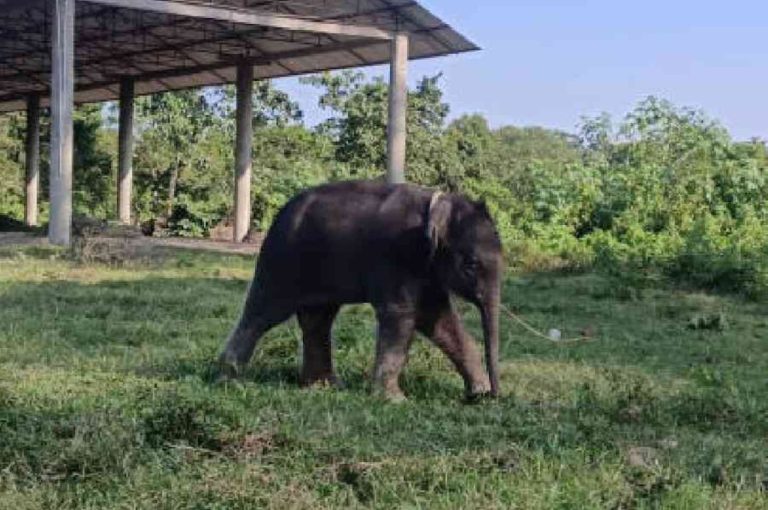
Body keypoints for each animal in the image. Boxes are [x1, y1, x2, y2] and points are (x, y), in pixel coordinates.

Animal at [218, 180, 503, 401]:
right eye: (471, 265)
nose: (495, 395)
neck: (440, 201)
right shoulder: (396, 255)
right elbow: (402, 314)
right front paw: (394, 400)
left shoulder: (426, 267)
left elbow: (438, 319)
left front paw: (477, 392)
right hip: (282, 257)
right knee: (264, 312)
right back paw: (231, 379)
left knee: (317, 319)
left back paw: (324, 386)